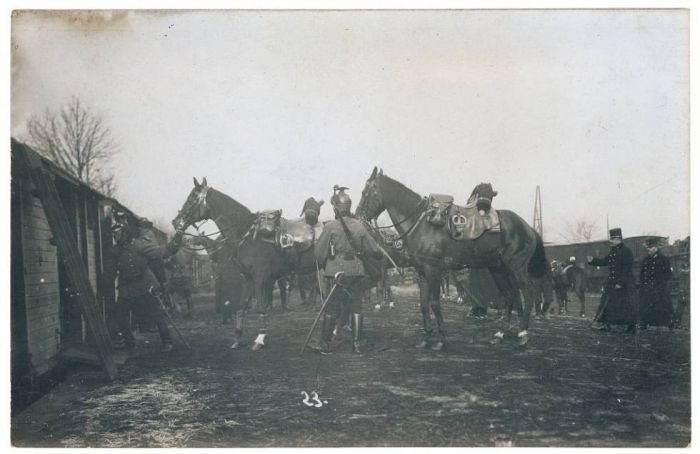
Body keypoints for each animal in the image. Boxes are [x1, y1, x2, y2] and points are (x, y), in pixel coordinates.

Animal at [358, 167, 548, 348]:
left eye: (366, 192)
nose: (358, 214)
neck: (422, 224)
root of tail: (528, 227)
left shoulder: (434, 271)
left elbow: (434, 303)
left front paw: (441, 338)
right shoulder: (422, 273)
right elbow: (424, 304)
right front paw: (427, 337)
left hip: (516, 267)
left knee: (528, 293)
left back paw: (523, 334)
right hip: (499, 270)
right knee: (510, 296)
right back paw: (501, 334)